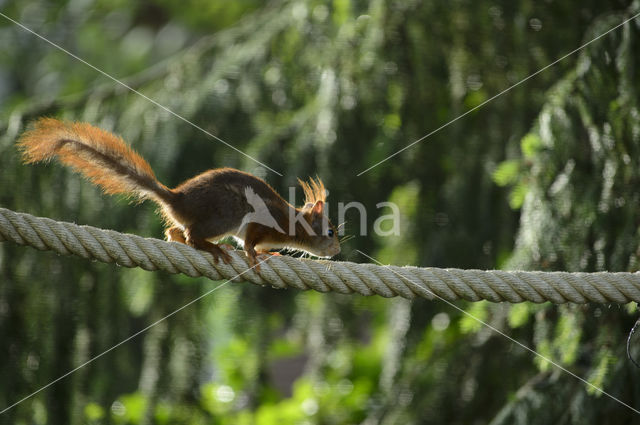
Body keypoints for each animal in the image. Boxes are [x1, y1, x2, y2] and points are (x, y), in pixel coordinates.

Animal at [17, 117, 342, 266]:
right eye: (330, 231)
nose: (337, 251)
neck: (290, 224)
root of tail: (177, 199)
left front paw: (269, 252)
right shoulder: (260, 223)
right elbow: (250, 241)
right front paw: (254, 255)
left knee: (175, 232)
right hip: (224, 216)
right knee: (192, 235)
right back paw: (212, 247)